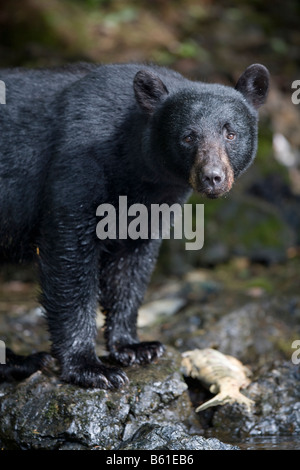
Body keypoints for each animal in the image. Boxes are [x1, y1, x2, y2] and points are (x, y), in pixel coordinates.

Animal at [0, 62, 270, 390]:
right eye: (188, 137)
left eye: (231, 134)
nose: (213, 177)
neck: (135, 168)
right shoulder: (77, 165)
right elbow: (70, 256)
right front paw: (90, 367)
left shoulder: (154, 202)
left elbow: (130, 266)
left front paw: (135, 347)